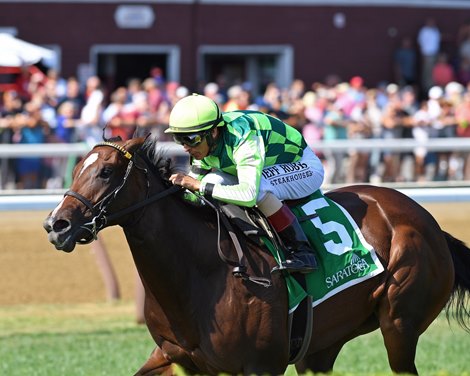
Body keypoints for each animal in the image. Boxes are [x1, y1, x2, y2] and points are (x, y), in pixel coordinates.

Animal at [44, 137, 470, 374]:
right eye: (77, 169)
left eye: (106, 172)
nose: (56, 224)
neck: (200, 274)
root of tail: (429, 223)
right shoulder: (173, 357)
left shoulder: (261, 366)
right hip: (322, 344)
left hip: (399, 324)